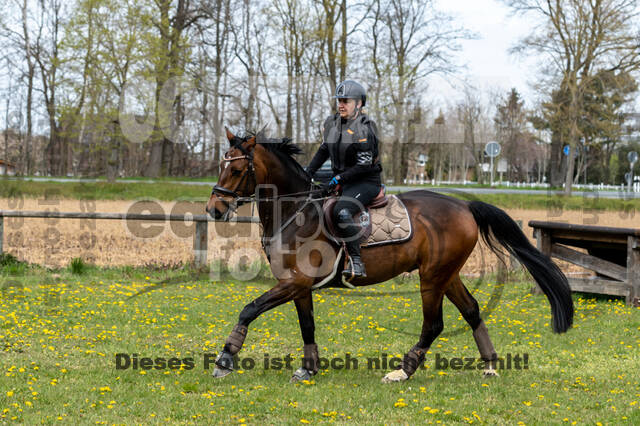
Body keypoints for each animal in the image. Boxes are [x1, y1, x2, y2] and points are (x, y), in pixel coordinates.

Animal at [205, 129, 576, 382]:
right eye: (221, 165)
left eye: (236, 170)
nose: (213, 209)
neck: (296, 212)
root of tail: (464, 205)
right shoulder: (298, 285)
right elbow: (306, 325)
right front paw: (308, 369)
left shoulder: (296, 282)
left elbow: (249, 308)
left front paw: (225, 358)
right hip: (447, 273)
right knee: (471, 310)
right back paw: (489, 365)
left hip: (432, 277)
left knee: (434, 324)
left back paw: (402, 371)